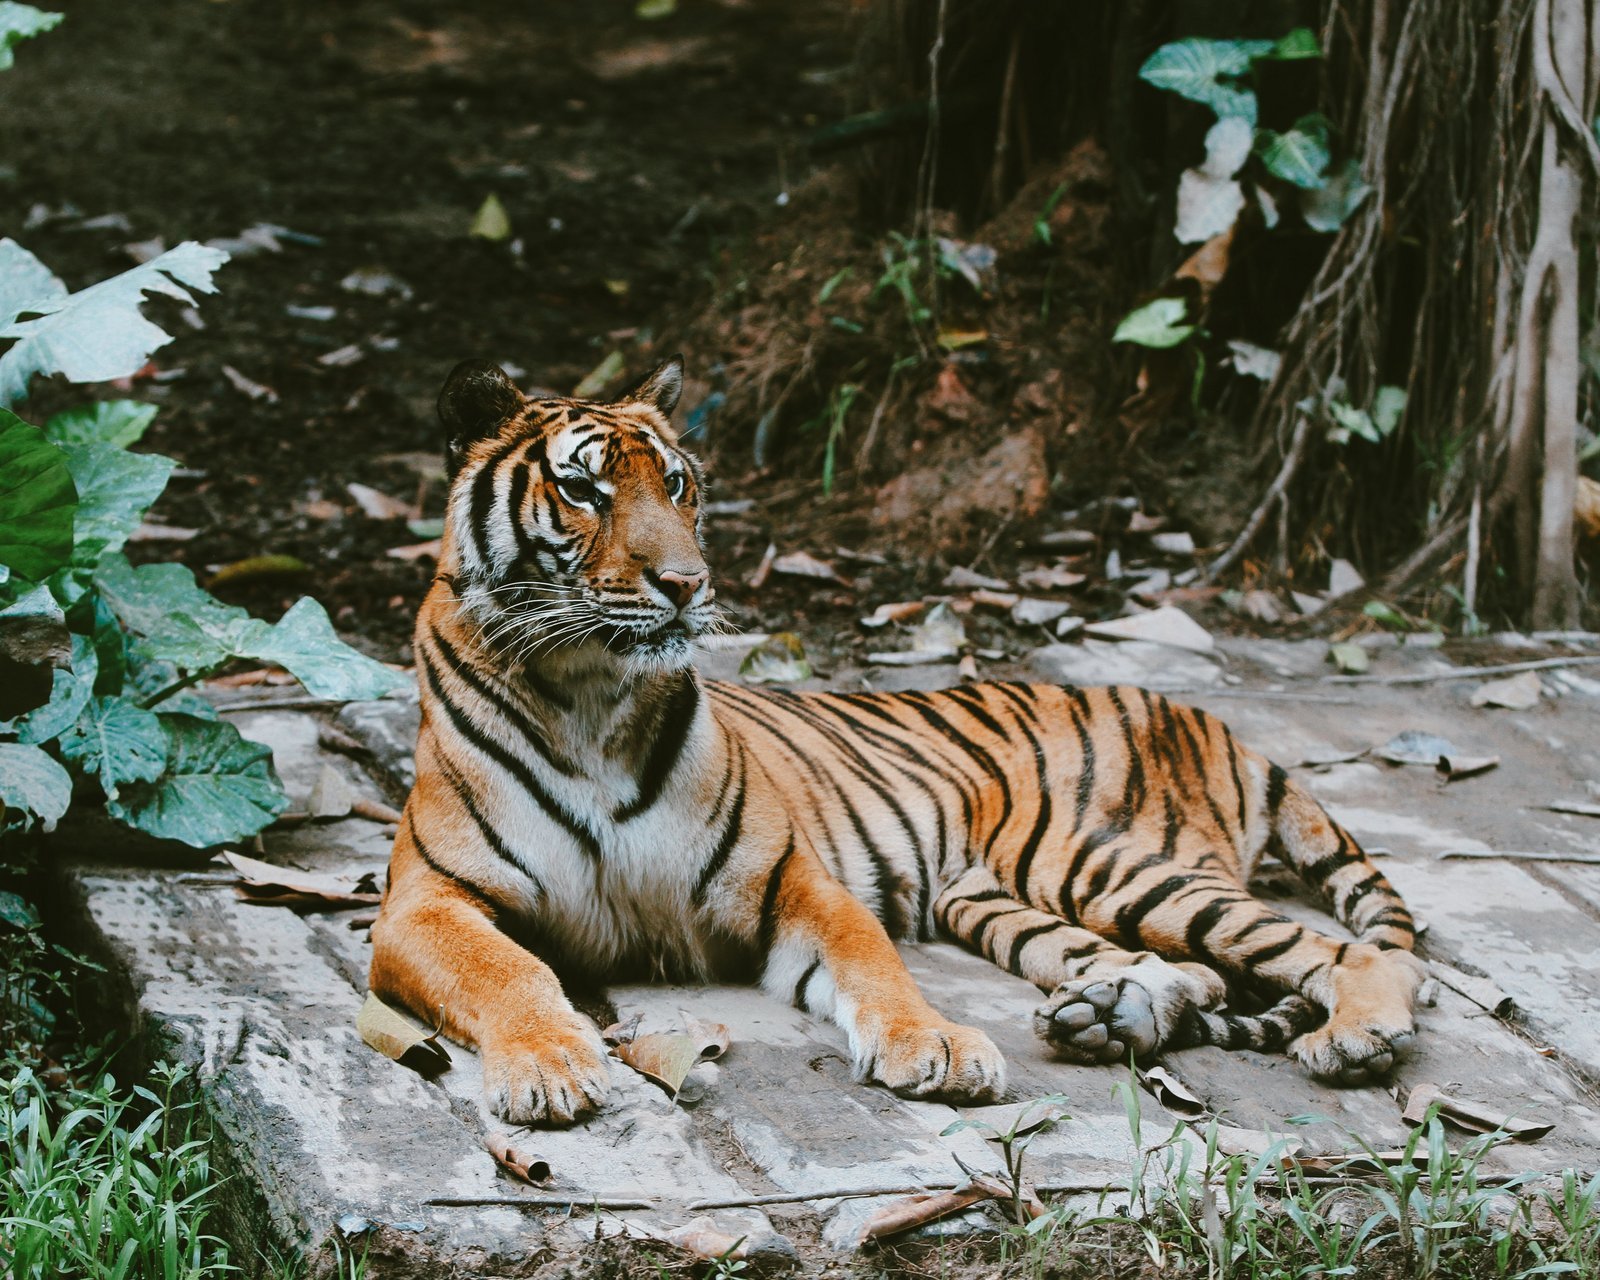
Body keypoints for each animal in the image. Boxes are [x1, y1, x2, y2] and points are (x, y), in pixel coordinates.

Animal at [367, 356, 1426, 1126]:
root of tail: (1204, 715)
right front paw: (548, 1065)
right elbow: (509, 970)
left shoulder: (789, 877)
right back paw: (1110, 1015)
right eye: (584, 492)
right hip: (1005, 899)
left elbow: (871, 957)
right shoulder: (424, 902)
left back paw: (1353, 1040)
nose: (686, 583)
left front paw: (939, 1048)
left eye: (676, 486)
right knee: (1204, 972)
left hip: (1107, 862)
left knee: (1351, 954)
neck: (589, 692)